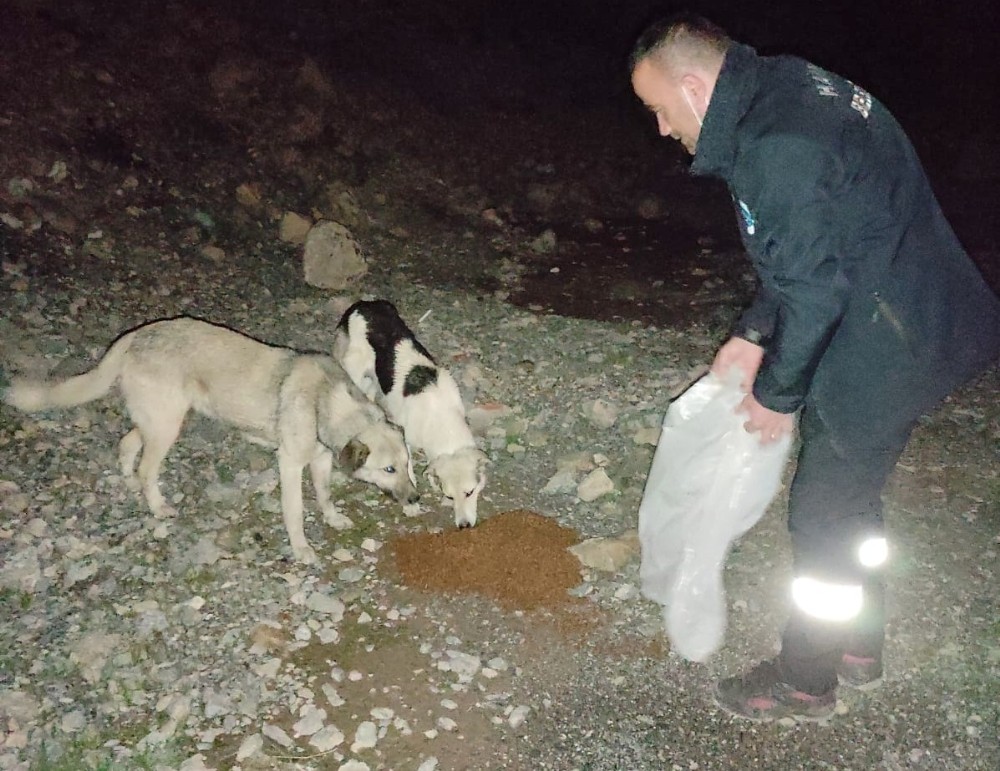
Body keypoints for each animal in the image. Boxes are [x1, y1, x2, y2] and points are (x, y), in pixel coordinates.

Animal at [1, 316, 416, 564]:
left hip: (161, 419)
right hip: (167, 427)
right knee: (147, 468)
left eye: (408, 464)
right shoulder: (290, 465)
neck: (326, 401)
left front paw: (332, 517)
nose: (415, 499)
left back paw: (128, 480)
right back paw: (157, 506)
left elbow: (326, 494)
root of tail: (136, 335)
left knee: (127, 444)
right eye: (389, 469)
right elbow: (296, 513)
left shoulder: (321, 459)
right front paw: (301, 549)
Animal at [332, 298, 488, 528]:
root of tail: (361, 305)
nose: (464, 526)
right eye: (450, 496)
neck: (440, 416)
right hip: (355, 374)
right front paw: (411, 505)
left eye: (470, 492)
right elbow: (408, 472)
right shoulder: (405, 440)